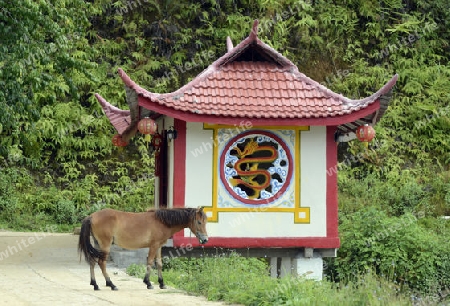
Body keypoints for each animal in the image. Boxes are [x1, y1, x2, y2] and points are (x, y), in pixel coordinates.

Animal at [78, 207, 209, 290]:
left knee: (92, 262)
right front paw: (148, 283)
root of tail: (91, 216)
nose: (205, 240)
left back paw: (95, 284)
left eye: (205, 222)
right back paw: (111, 284)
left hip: (97, 245)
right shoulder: (153, 246)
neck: (162, 222)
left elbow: (159, 264)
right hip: (105, 245)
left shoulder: (159, 247)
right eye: (199, 222)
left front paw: (162, 284)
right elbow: (150, 262)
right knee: (102, 263)